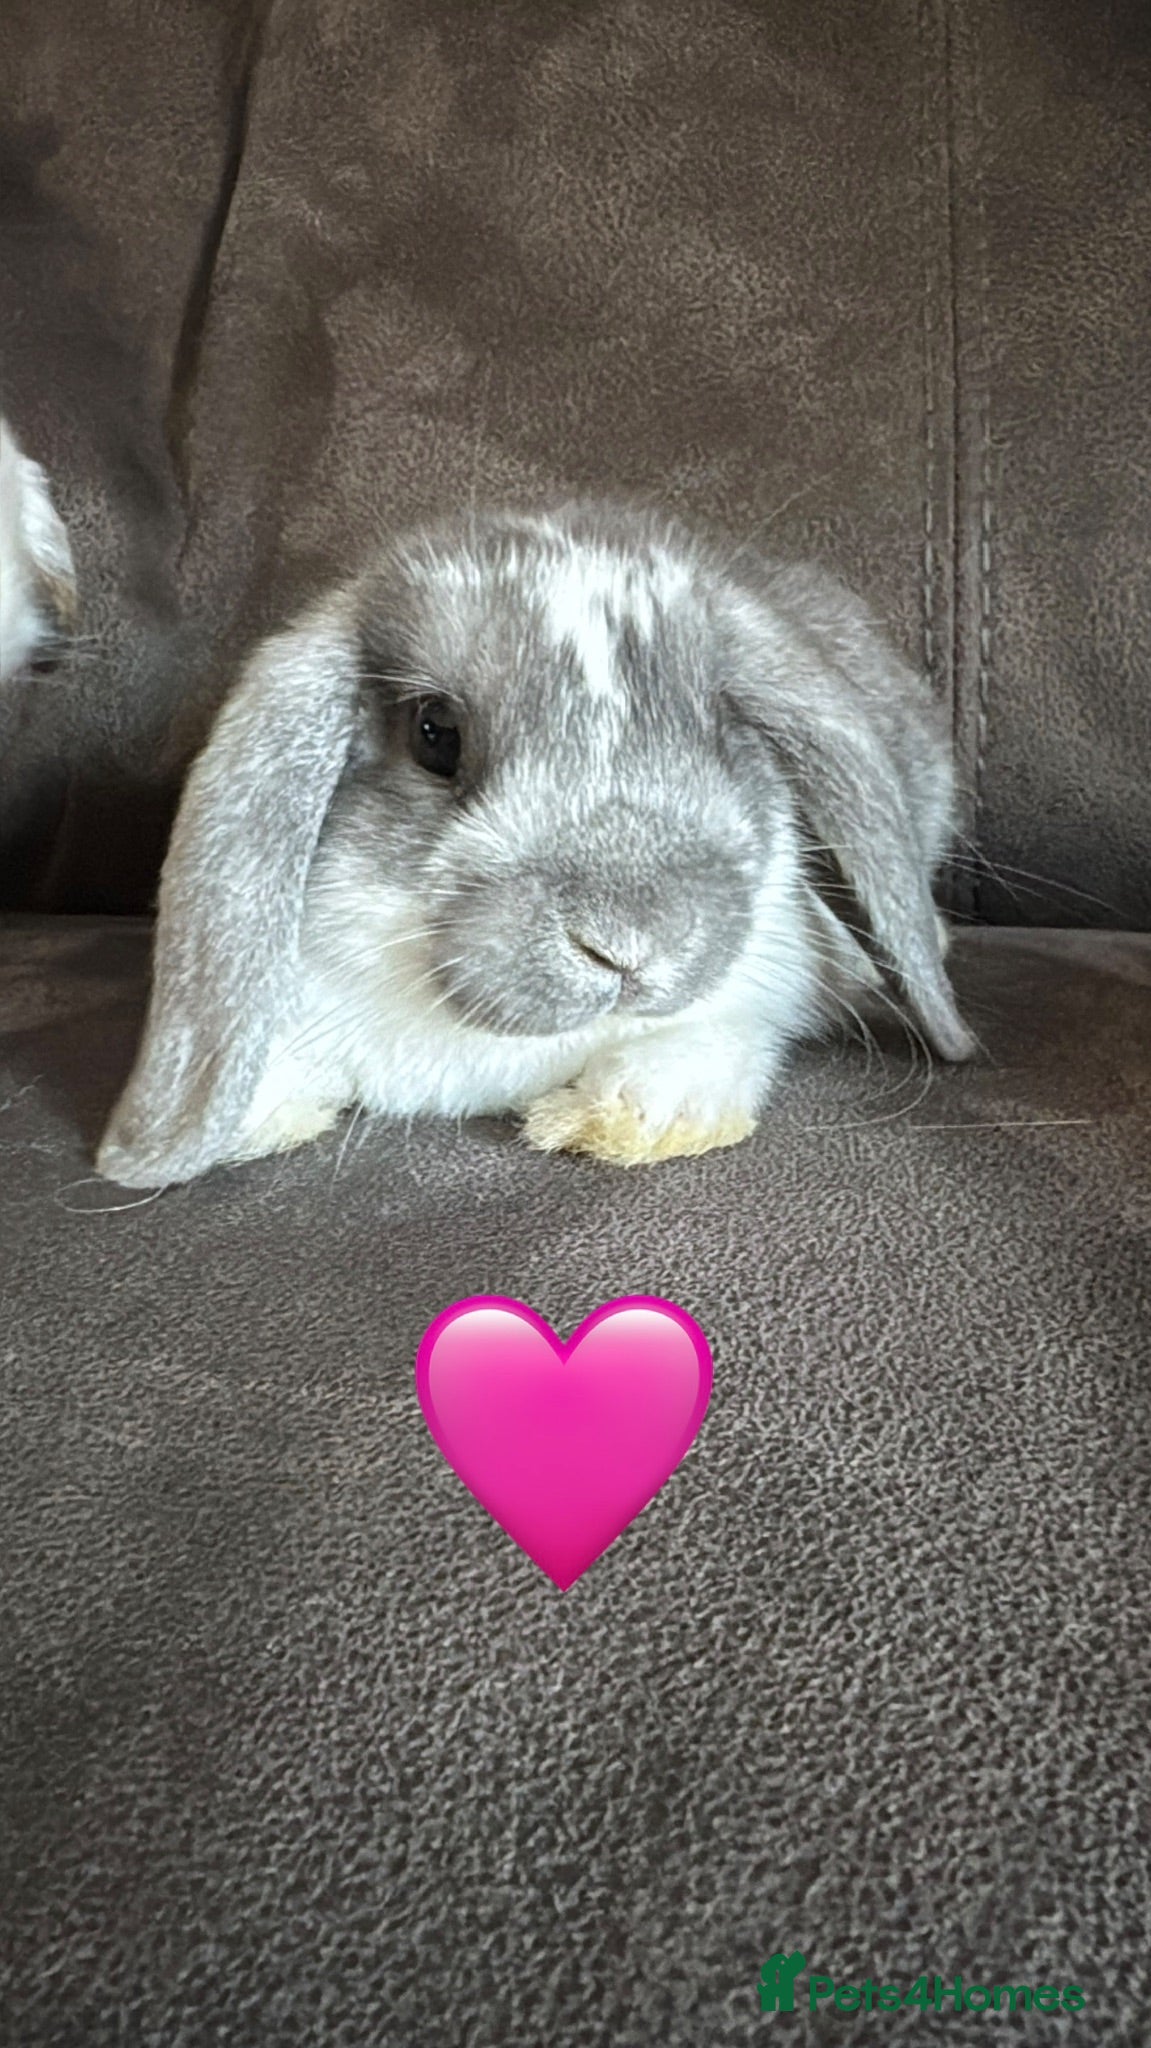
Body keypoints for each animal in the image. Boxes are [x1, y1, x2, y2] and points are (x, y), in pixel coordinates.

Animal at [97, 500, 975, 1187]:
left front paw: (634, 1118)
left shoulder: (761, 991)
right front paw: (247, 1118)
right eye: (434, 734)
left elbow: (703, 1040)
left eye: (725, 730)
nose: (629, 941)